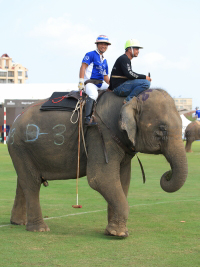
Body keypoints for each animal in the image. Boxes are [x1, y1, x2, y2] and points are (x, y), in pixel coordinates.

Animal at [6, 89, 188, 239]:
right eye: (162, 128)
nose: (167, 174)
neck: (129, 99)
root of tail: (15, 121)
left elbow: (123, 181)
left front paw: (114, 231)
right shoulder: (100, 135)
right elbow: (100, 179)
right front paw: (119, 234)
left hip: (22, 149)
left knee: (23, 180)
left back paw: (18, 223)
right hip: (20, 144)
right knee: (32, 183)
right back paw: (40, 229)